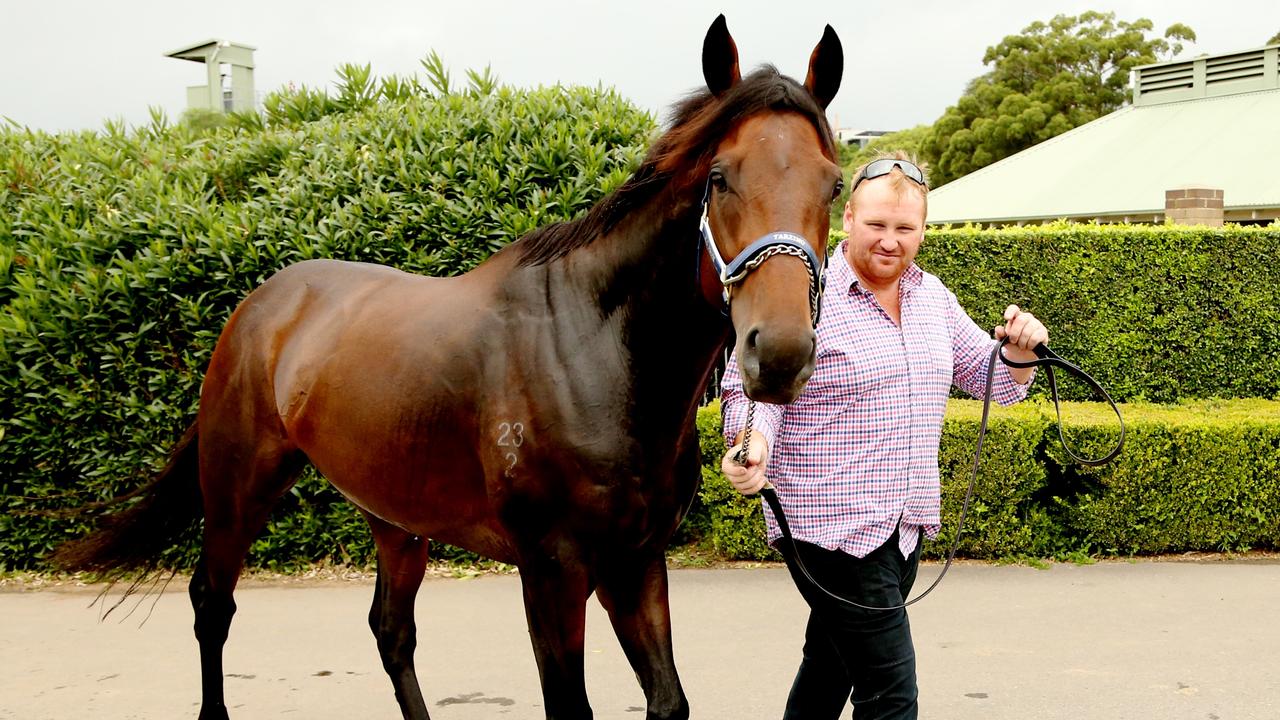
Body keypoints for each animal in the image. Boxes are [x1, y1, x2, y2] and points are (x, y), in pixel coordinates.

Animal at [55, 16, 844, 717]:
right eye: (719, 176)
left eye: (832, 184)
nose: (779, 354)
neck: (593, 353)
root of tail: (260, 305)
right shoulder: (553, 570)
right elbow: (571, 706)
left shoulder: (637, 560)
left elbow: (668, 701)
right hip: (238, 490)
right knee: (212, 605)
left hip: (392, 515)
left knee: (390, 630)